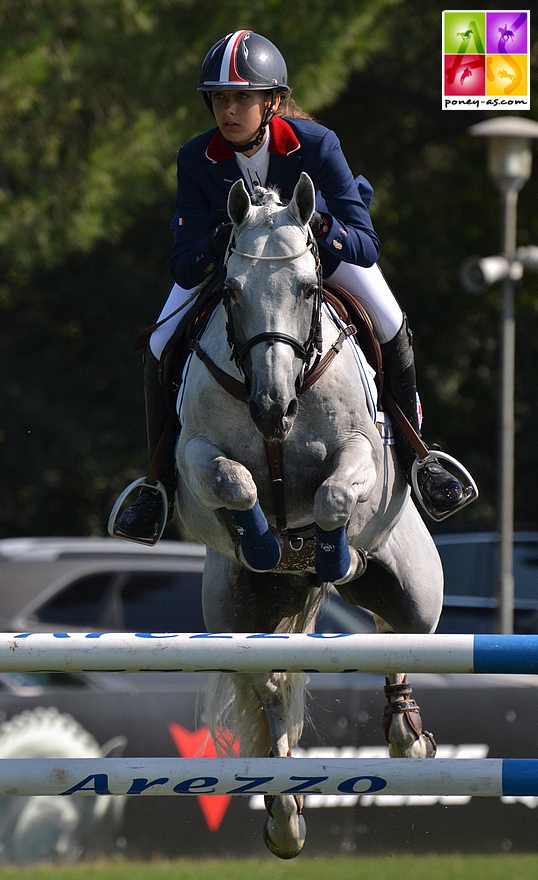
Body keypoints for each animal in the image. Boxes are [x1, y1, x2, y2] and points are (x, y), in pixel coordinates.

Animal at [174, 172, 442, 860]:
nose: (272, 407)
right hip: (236, 617)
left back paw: (407, 734)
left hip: (416, 590)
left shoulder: (358, 453)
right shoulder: (193, 457)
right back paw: (284, 812)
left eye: (307, 289)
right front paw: (267, 545)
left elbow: (333, 496)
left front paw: (326, 550)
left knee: (399, 632)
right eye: (231, 292)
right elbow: (231, 478)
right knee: (270, 687)